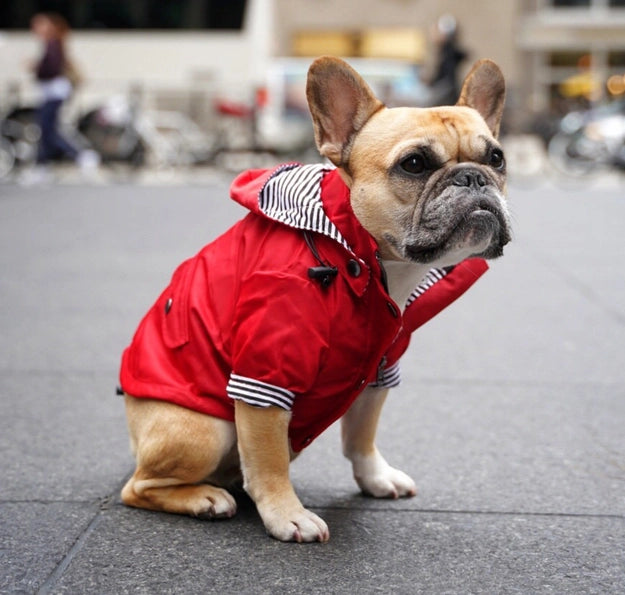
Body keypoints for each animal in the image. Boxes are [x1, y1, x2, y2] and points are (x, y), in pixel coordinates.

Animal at [119, 57, 510, 544]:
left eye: (497, 158)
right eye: (415, 164)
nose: (474, 176)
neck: (366, 259)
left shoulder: (378, 368)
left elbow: (362, 435)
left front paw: (375, 477)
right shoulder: (266, 374)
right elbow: (269, 462)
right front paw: (287, 514)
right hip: (204, 431)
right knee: (140, 487)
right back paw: (203, 498)